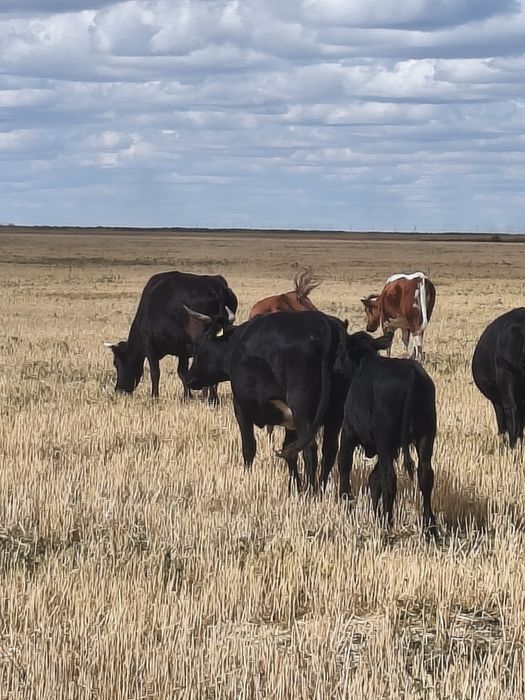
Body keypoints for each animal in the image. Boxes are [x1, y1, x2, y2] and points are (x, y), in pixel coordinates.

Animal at [104, 271, 237, 402]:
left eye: (116, 363)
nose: (119, 390)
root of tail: (215, 286)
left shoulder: (149, 344)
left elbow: (155, 372)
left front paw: (154, 397)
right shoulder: (183, 349)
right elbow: (182, 372)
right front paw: (187, 396)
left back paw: (212, 398)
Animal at [184, 309, 349, 493]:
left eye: (198, 347)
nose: (189, 379)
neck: (235, 346)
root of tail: (325, 323)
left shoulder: (240, 407)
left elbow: (249, 446)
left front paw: (246, 479)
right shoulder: (290, 421)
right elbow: (289, 450)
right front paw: (294, 485)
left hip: (302, 410)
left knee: (310, 448)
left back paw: (310, 491)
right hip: (335, 414)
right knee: (329, 450)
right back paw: (320, 489)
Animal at [335, 330, 437, 537]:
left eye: (341, 350)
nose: (335, 364)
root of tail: (413, 374)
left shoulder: (349, 430)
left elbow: (344, 464)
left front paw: (346, 500)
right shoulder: (393, 448)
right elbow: (374, 477)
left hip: (384, 437)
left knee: (390, 478)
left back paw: (387, 524)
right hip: (426, 435)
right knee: (425, 475)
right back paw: (430, 527)